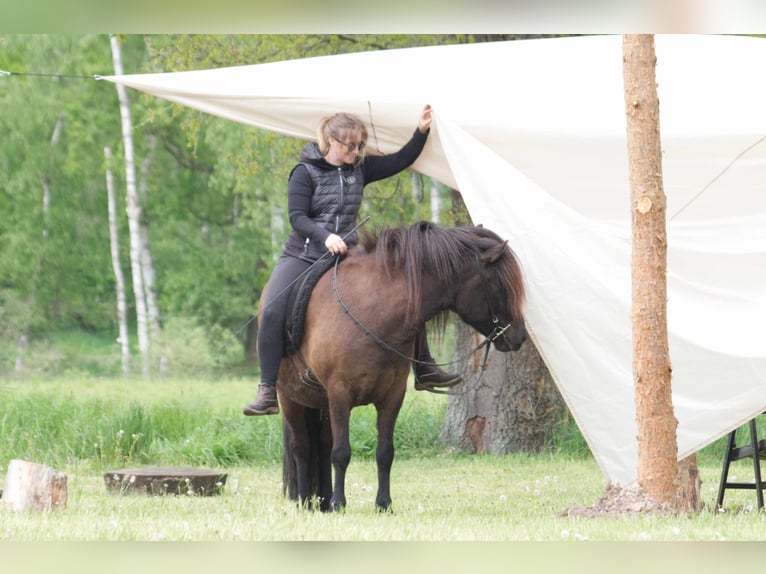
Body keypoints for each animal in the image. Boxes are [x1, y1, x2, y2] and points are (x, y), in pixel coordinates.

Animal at [274, 220, 528, 512]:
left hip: (320, 403)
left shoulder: (392, 395)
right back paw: (305, 501)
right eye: (499, 284)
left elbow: (384, 452)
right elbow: (341, 452)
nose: (520, 336)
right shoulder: (339, 394)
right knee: (302, 447)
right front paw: (340, 504)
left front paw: (383, 504)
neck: (372, 313)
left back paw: (323, 502)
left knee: (322, 444)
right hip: (291, 399)